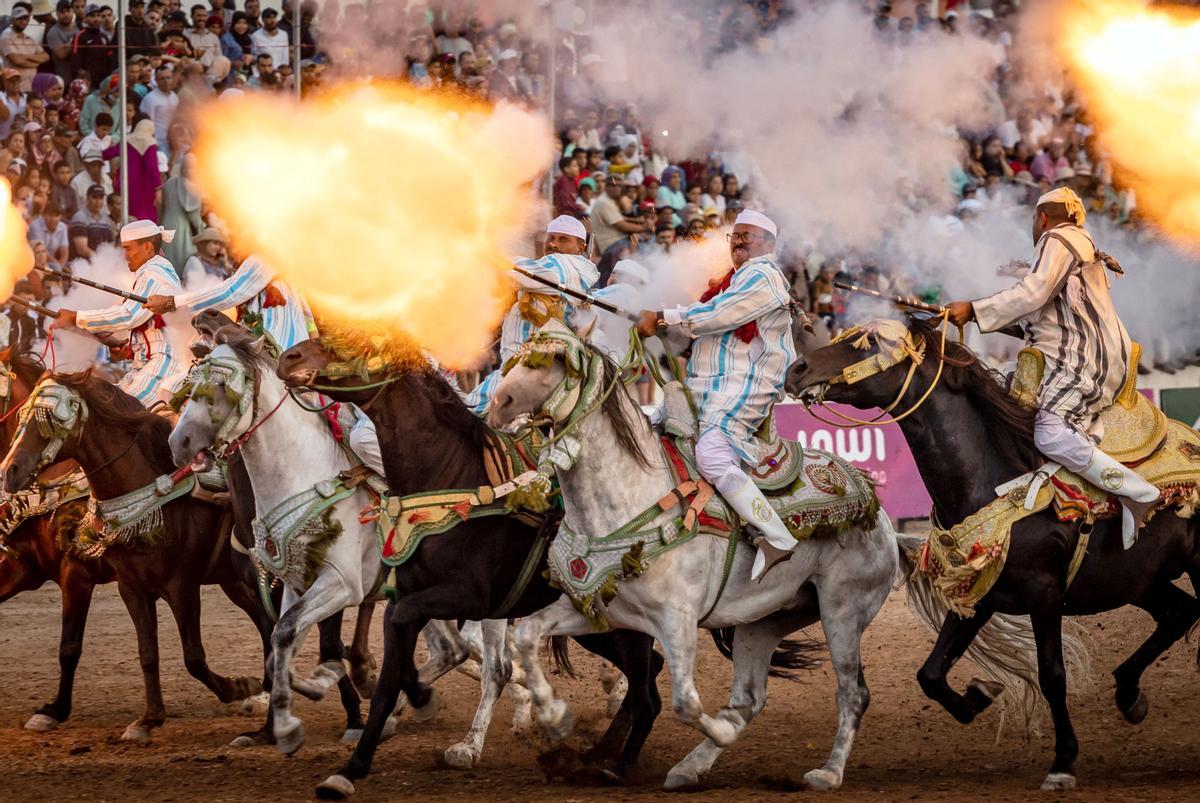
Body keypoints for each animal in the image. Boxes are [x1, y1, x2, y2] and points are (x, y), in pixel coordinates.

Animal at [0, 369, 274, 739]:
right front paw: (148, 718)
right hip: (232, 579)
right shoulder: (128, 586)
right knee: (263, 619)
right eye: (21, 418)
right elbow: (146, 652)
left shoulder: (175, 585)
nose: (9, 470)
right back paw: (267, 689)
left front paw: (237, 687)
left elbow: (193, 657)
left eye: (48, 421)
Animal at [168, 326, 530, 763]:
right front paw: (282, 720)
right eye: (191, 386)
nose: (179, 443)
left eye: (222, 386)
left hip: (483, 600)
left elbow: (297, 639)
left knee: (494, 666)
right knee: (455, 652)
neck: (306, 477)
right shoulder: (294, 586)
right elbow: (279, 647)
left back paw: (472, 741)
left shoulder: (340, 585)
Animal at [282, 336, 672, 796]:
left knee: (648, 692)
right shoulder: (405, 597)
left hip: (620, 627)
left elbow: (427, 643)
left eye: (352, 337)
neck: (450, 482)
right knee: (650, 677)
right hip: (600, 630)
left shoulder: (469, 598)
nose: (289, 358)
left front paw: (420, 699)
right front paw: (351, 768)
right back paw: (600, 753)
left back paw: (617, 765)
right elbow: (387, 681)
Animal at [787, 314, 1200, 787]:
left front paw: (1063, 762)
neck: (992, 476)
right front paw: (978, 696)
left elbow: (1052, 674)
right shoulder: (978, 594)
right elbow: (930, 673)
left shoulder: (1044, 594)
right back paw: (1130, 696)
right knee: (1180, 613)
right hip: (1140, 582)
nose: (797, 369)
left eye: (868, 341)